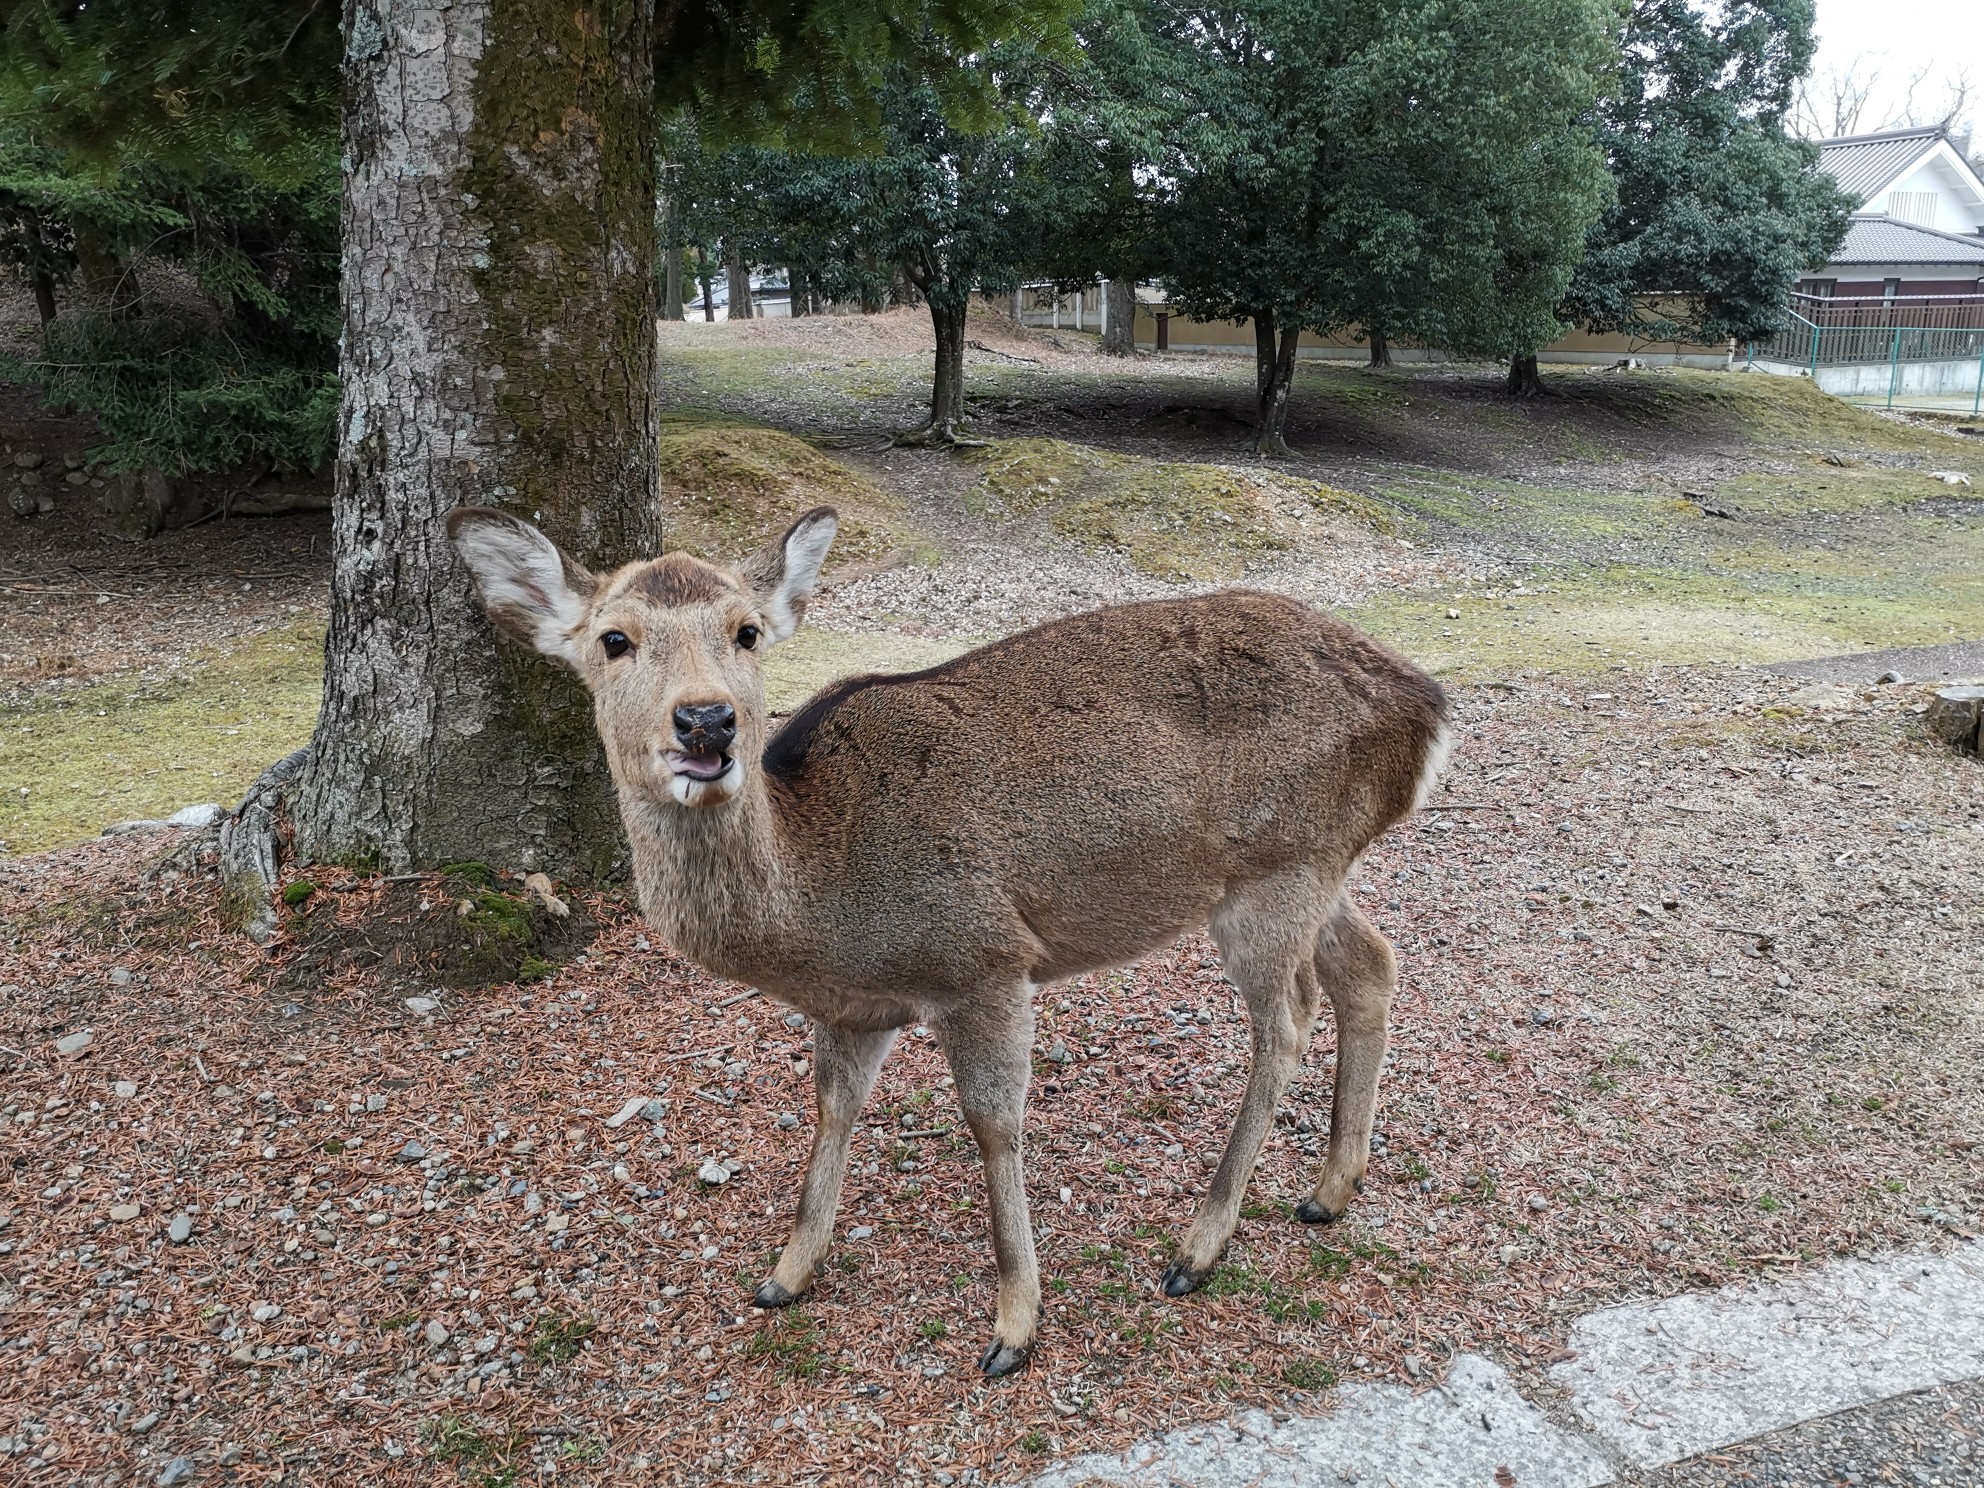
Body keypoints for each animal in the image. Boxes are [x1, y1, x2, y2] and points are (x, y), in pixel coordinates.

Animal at [450, 507, 1452, 1380]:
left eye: (747, 632)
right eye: (613, 640)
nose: (706, 722)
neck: (822, 908)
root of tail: (1428, 704)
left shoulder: (985, 960)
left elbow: (993, 1125)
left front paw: (1015, 1326)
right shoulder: (855, 1008)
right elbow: (833, 1110)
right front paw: (784, 1274)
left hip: (1276, 875)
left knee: (1286, 1023)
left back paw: (1198, 1248)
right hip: (1317, 867)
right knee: (1373, 964)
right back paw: (1330, 1189)